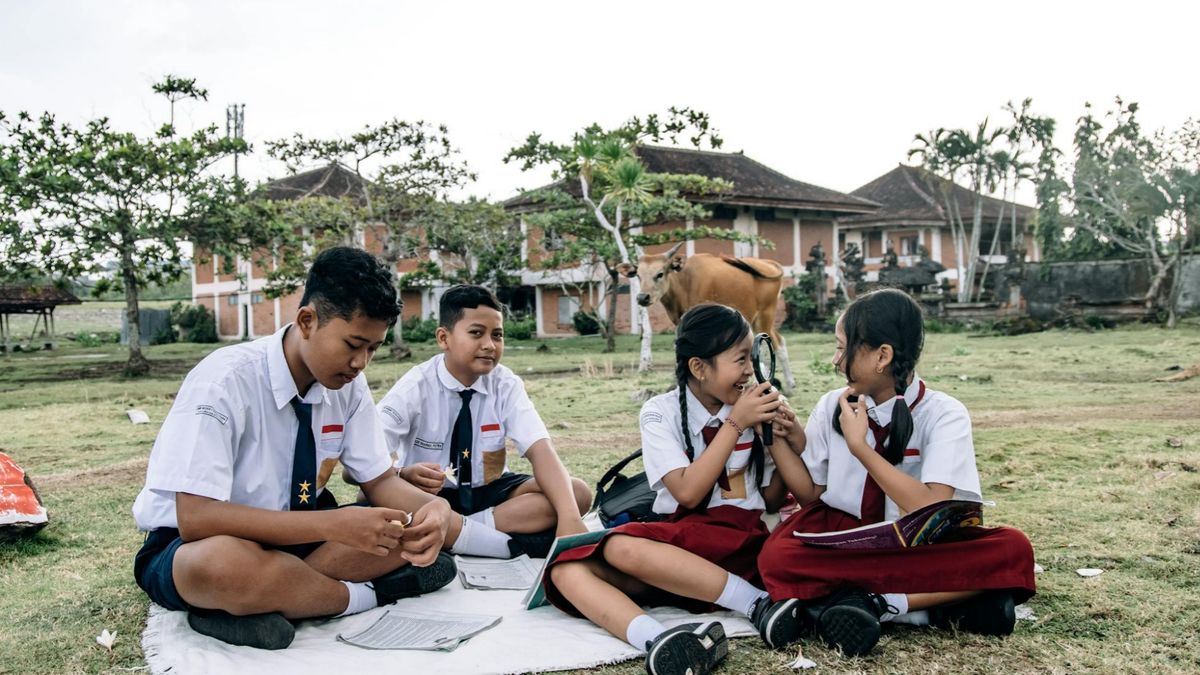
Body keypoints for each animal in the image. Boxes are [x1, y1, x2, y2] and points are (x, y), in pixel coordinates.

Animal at [619, 241, 796, 389]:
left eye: (660, 274)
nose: (642, 297)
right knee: (780, 340)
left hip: (765, 315)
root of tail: (769, 264)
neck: (685, 282)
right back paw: (789, 383)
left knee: (775, 343)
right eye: (638, 275)